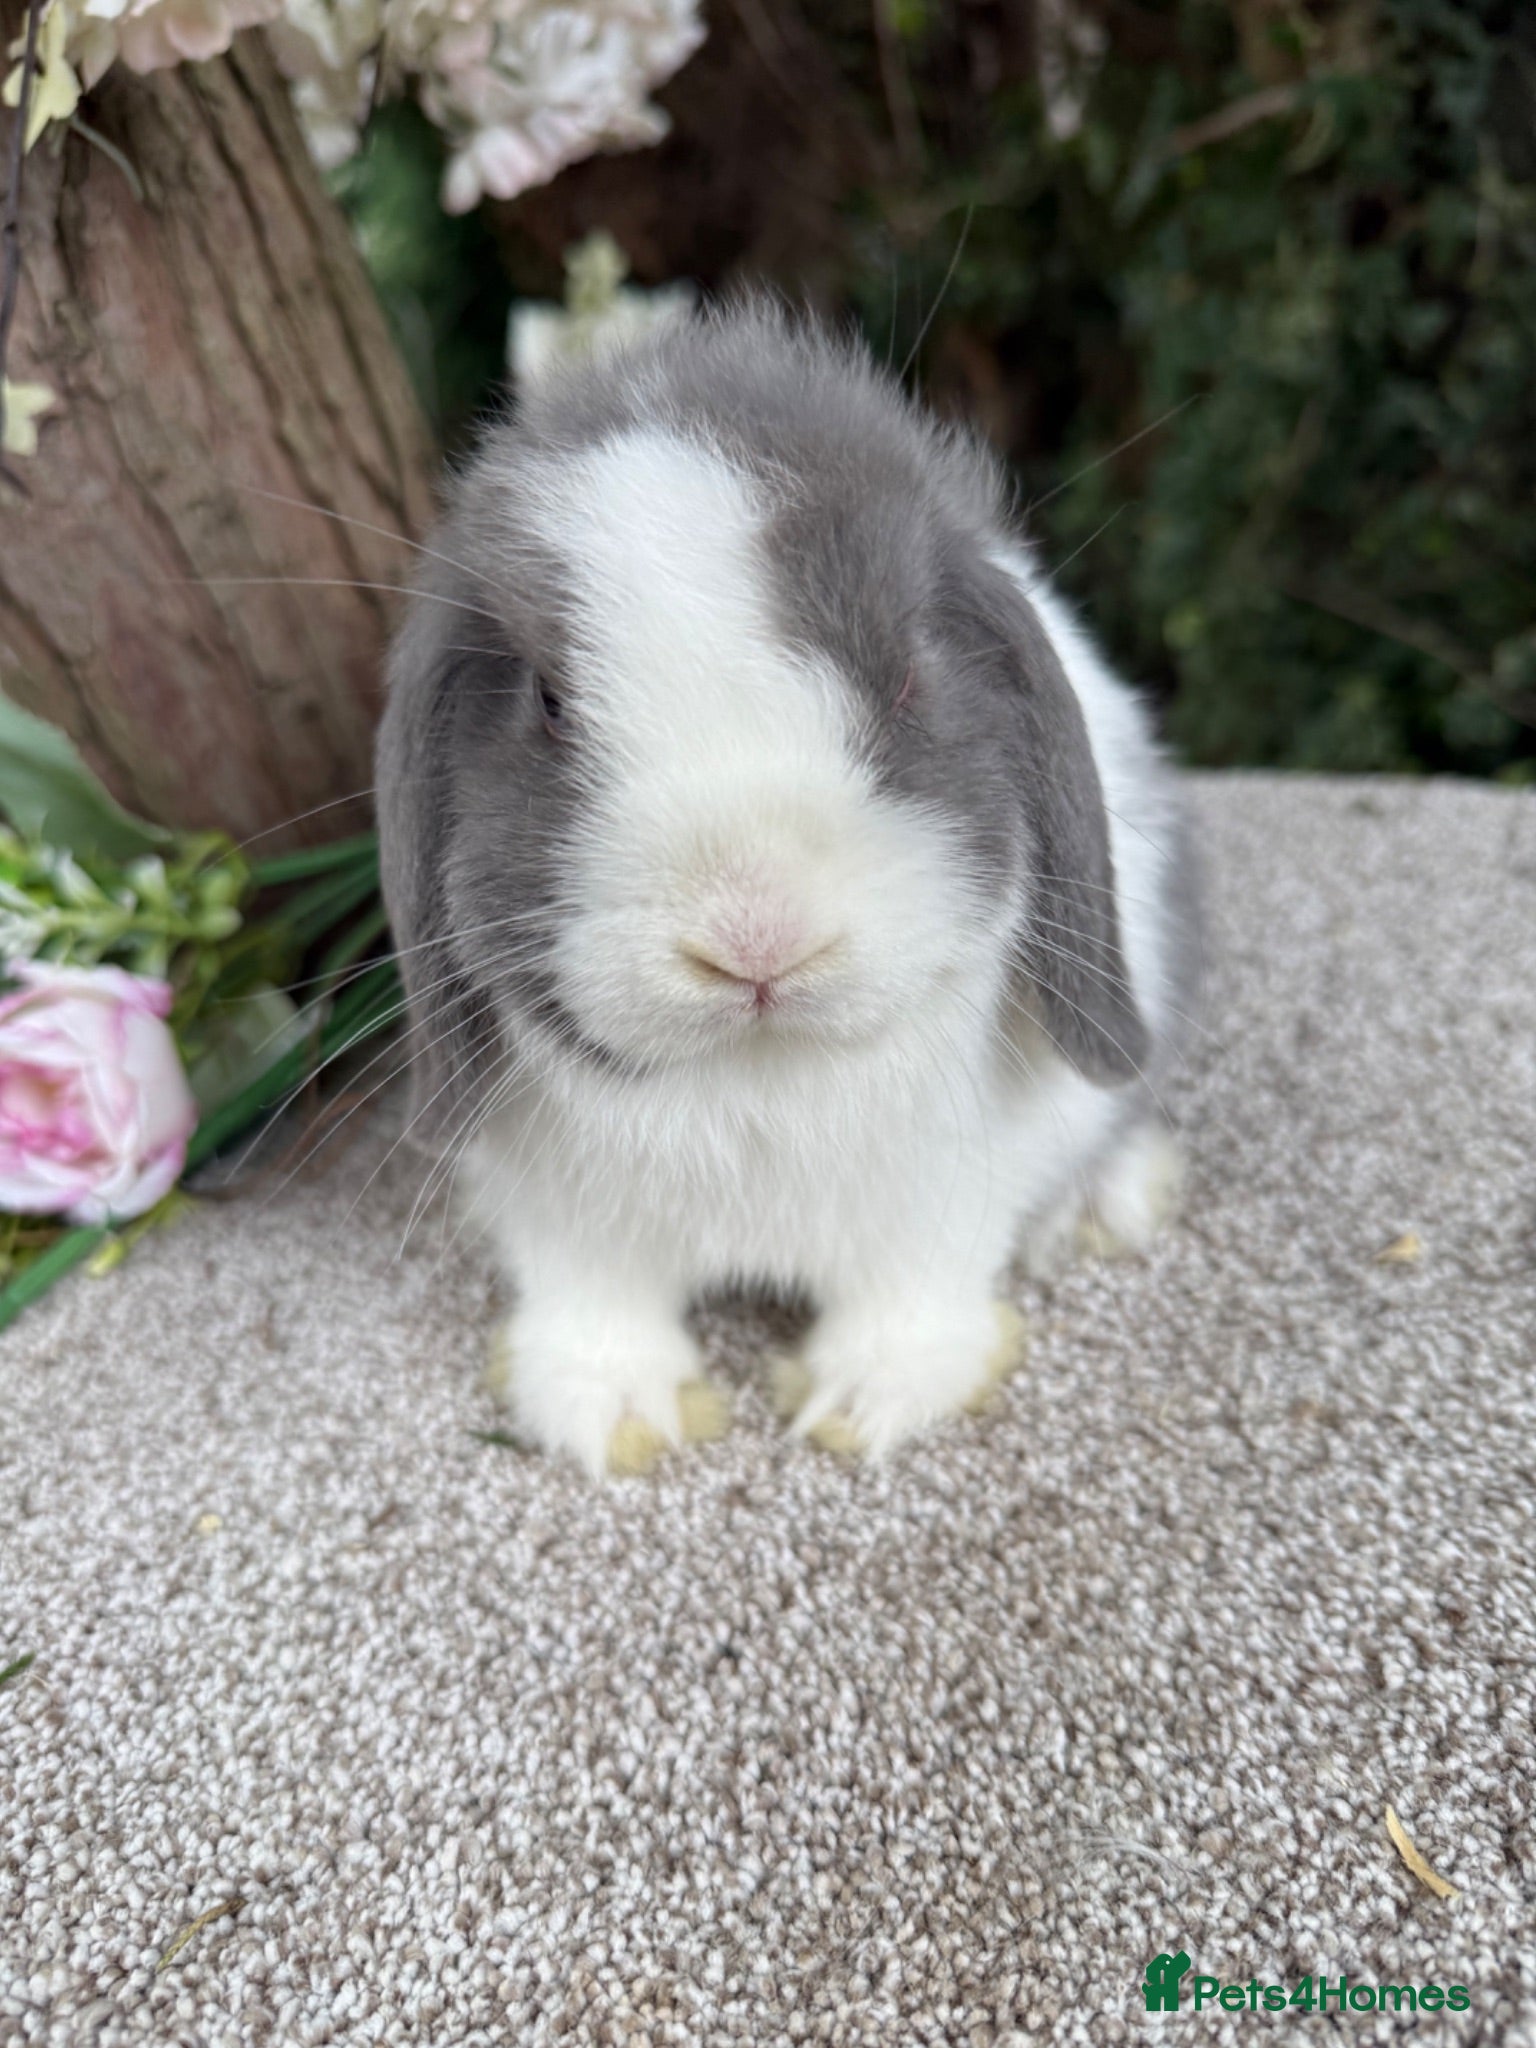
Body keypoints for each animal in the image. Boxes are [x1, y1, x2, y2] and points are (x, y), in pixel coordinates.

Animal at [376, 299, 1199, 1477]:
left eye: (906, 677)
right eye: (548, 703)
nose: (755, 935)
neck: (757, 1075)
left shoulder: (946, 1194)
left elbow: (918, 1284)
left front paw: (865, 1402)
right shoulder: (555, 1207)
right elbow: (588, 1296)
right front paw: (616, 1416)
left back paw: (1102, 1207)